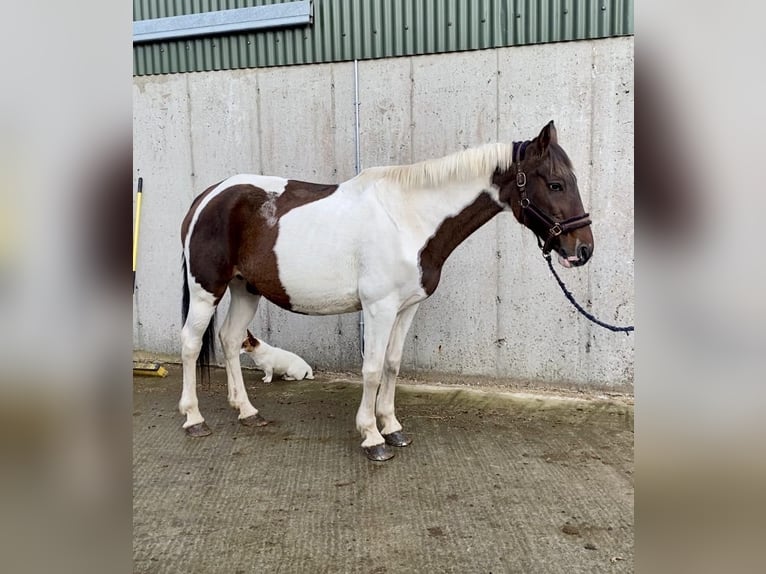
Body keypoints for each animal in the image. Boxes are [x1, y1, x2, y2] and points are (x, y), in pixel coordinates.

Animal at [178, 121, 592, 464]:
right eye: (555, 184)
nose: (583, 250)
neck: (410, 219)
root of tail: (207, 196)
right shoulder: (379, 308)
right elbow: (373, 369)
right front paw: (372, 437)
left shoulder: (407, 308)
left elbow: (392, 365)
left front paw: (392, 428)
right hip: (206, 289)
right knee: (191, 344)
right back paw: (194, 418)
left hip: (245, 289)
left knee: (230, 339)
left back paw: (247, 412)